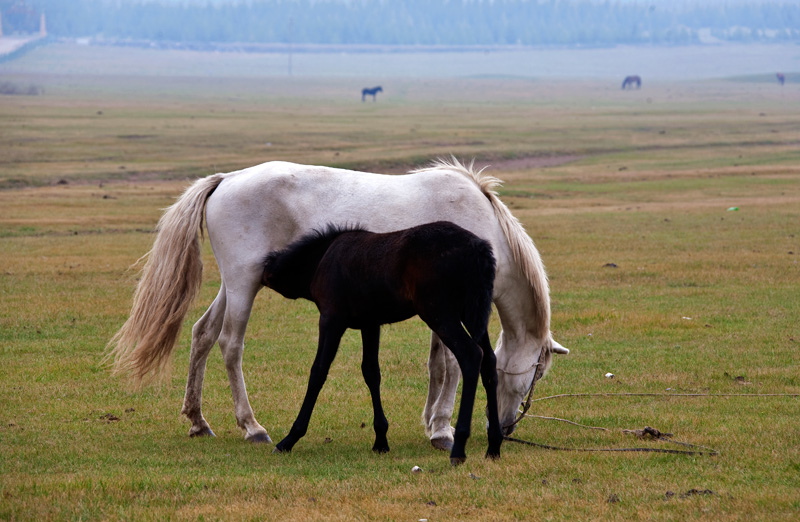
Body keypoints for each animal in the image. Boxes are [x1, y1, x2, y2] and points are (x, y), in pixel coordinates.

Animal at [263, 222, 502, 465]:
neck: (321, 257)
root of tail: (478, 247)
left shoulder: (331, 319)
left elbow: (318, 372)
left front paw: (289, 438)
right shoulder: (370, 324)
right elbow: (371, 372)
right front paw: (381, 440)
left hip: (440, 314)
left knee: (471, 355)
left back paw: (459, 448)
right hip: (471, 315)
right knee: (489, 361)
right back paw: (494, 445)